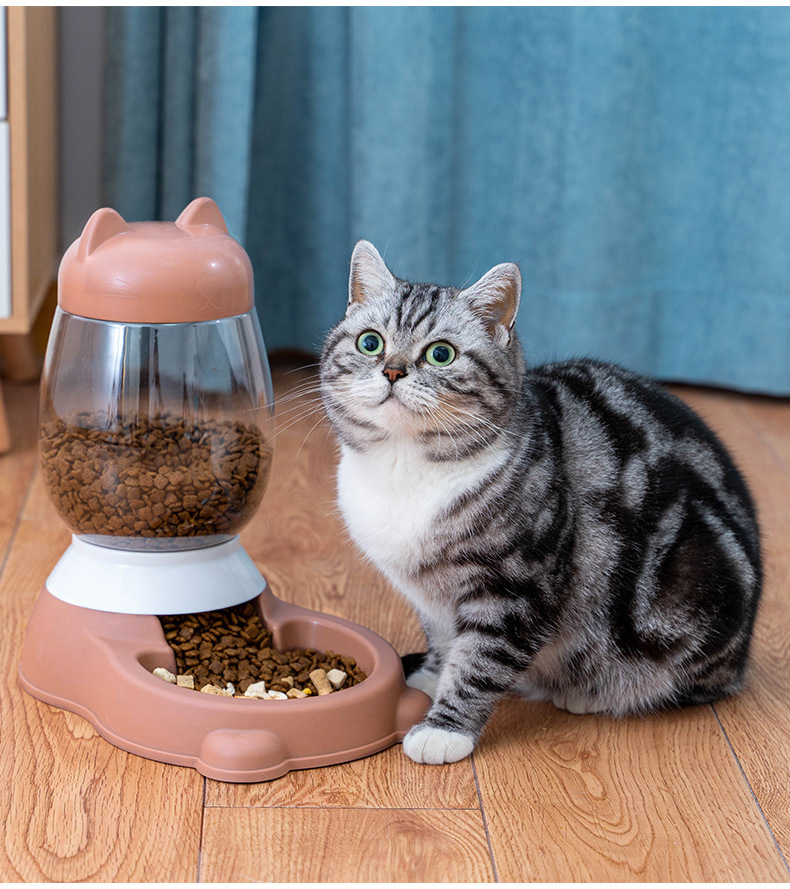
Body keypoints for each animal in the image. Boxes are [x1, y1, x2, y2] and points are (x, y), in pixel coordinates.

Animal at [318, 241, 764, 764]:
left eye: (441, 354)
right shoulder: (431, 597)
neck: (403, 468)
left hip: (691, 597)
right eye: (370, 343)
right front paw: (430, 674)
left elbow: (481, 660)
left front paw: (445, 729)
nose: (392, 370)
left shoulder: (517, 584)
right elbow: (445, 641)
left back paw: (590, 694)